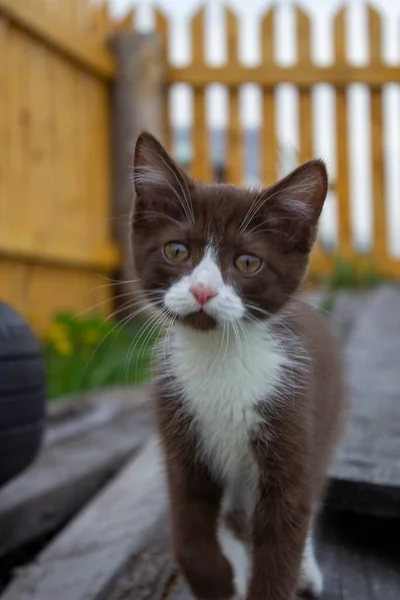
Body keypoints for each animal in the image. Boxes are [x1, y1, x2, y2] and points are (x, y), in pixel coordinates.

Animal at [132, 132, 346, 600]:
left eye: (247, 262)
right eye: (177, 251)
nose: (203, 291)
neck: (220, 358)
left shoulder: (293, 419)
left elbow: (286, 528)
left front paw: (281, 574)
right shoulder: (181, 435)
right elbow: (189, 526)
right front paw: (216, 580)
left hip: (327, 423)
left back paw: (307, 570)